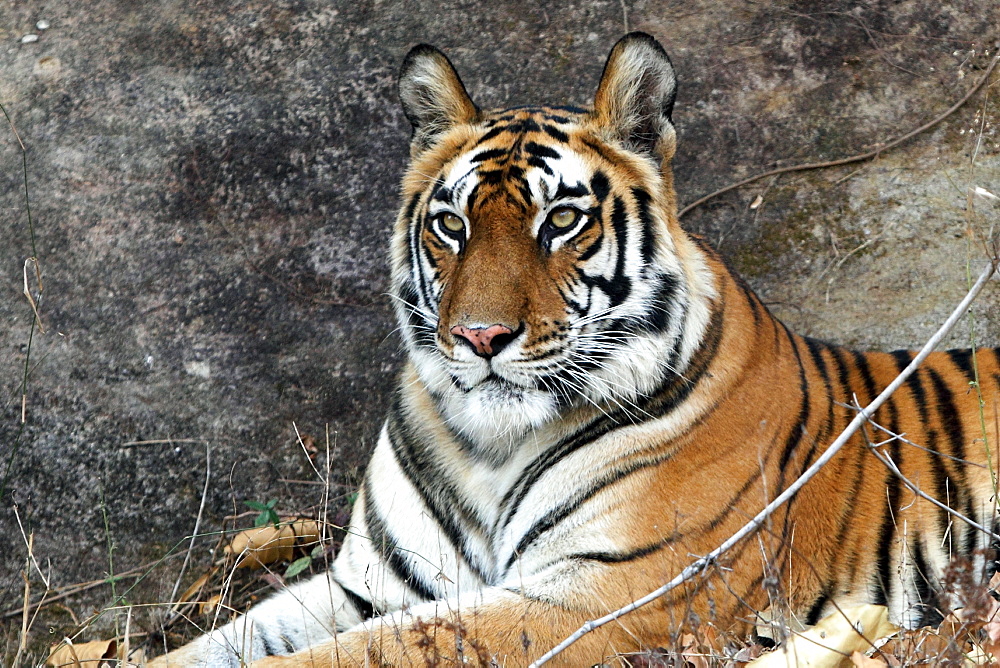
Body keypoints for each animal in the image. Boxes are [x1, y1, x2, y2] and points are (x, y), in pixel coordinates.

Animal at [148, 32, 1000, 668]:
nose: (480, 337)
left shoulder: (599, 596)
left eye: (560, 220)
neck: (485, 448)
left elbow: (376, 650)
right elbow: (222, 643)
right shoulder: (373, 583)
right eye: (451, 224)